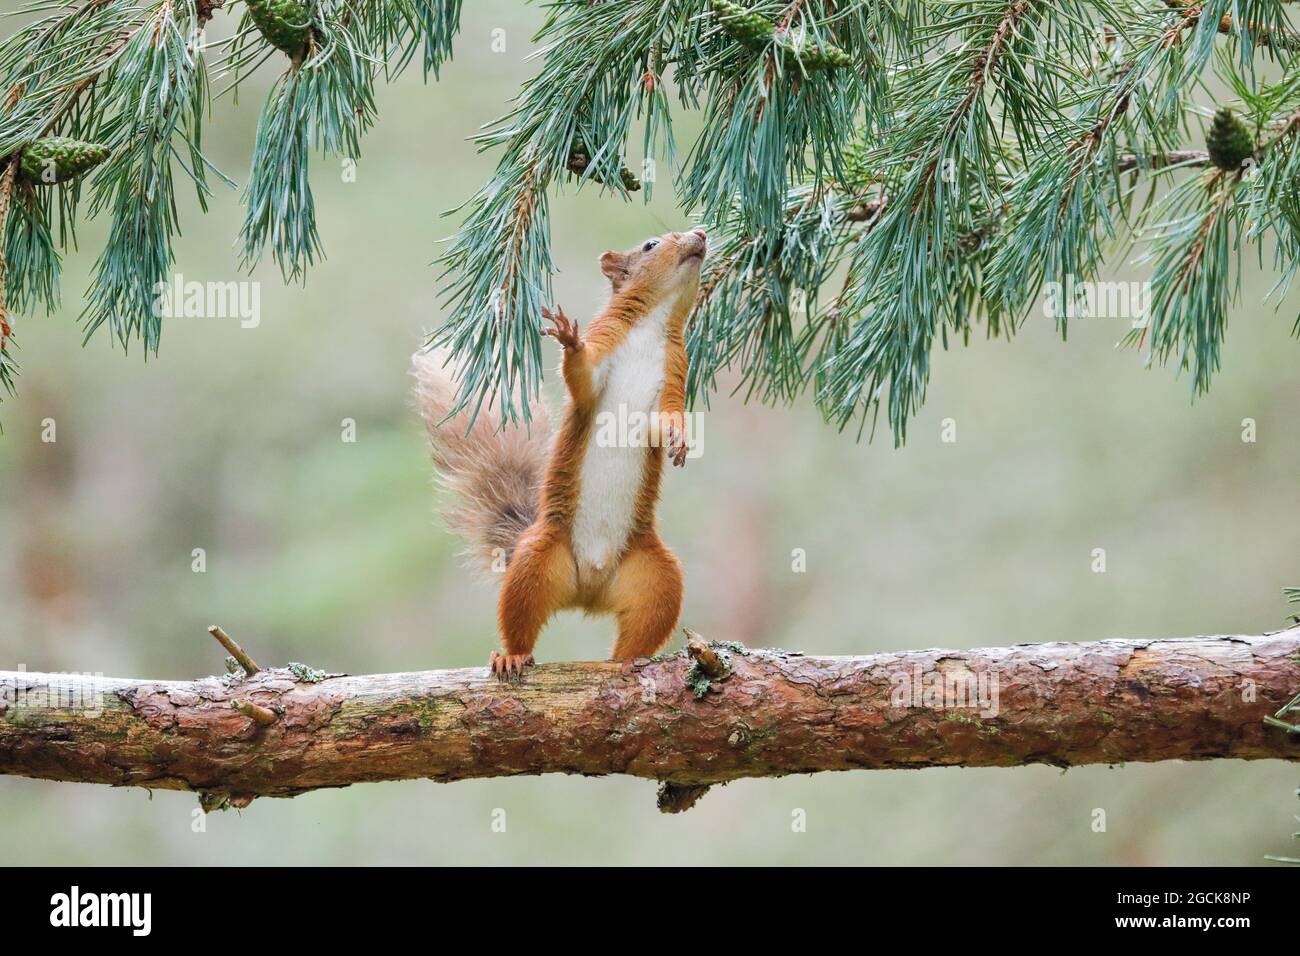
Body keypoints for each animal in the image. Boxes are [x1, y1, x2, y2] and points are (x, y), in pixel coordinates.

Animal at [416, 230, 707, 681]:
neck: (652, 327)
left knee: (643, 625)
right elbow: (583, 379)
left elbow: (667, 417)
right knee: (520, 621)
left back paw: (630, 660)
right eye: (651, 245)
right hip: (536, 561)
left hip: (657, 579)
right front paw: (569, 339)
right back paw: (512, 655)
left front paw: (680, 438)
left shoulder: (675, 372)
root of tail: (589, 589)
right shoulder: (603, 351)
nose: (702, 234)